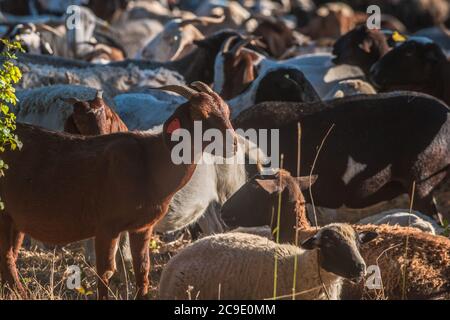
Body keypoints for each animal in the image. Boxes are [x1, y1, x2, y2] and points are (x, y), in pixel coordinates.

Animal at [0, 82, 237, 300]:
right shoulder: (107, 226)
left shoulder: (142, 227)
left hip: (14, 218)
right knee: (7, 256)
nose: (233, 144)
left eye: (226, 111)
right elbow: (106, 270)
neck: (149, 162)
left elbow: (142, 268)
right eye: (199, 114)